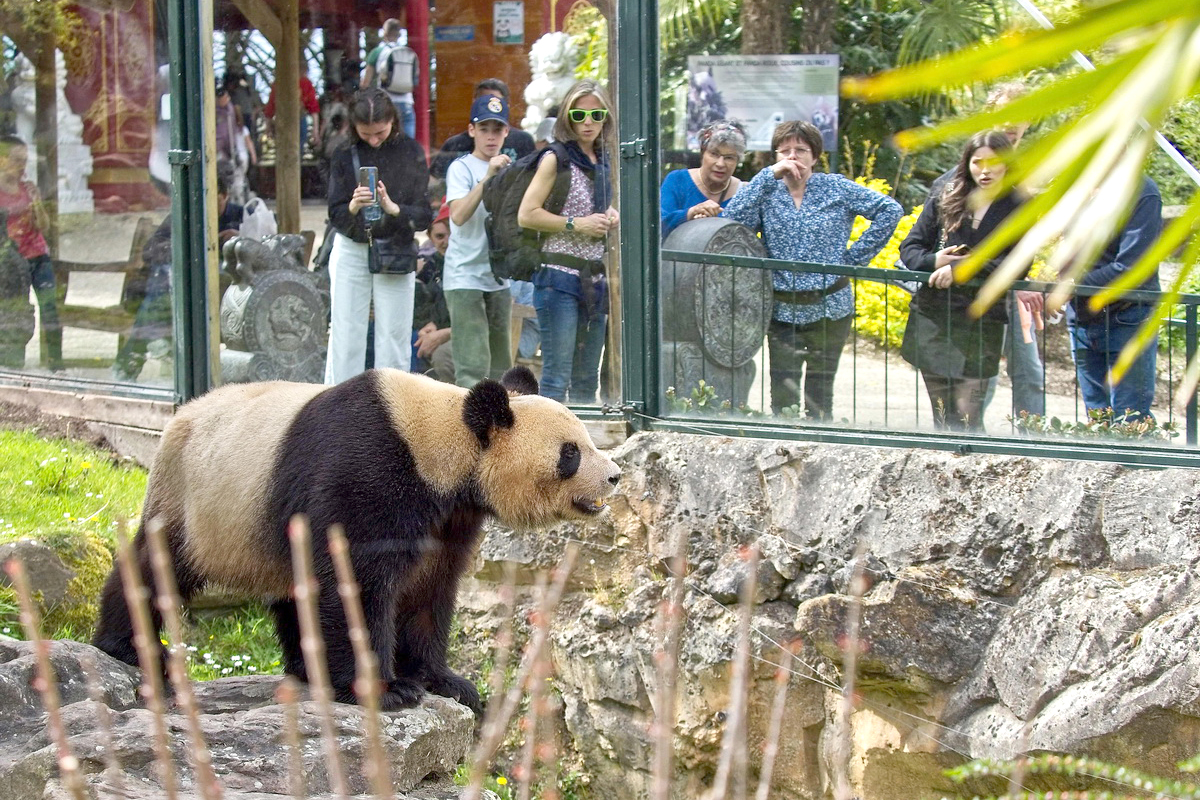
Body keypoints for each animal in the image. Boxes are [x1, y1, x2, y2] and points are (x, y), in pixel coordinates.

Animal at [92, 364, 619, 714]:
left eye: (586, 441)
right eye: (571, 453)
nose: (614, 476)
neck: (442, 437)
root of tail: (176, 419)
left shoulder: (448, 516)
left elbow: (427, 591)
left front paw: (446, 682)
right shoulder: (367, 471)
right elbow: (358, 584)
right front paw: (388, 690)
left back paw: (310, 669)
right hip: (199, 503)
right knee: (158, 566)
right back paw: (131, 647)